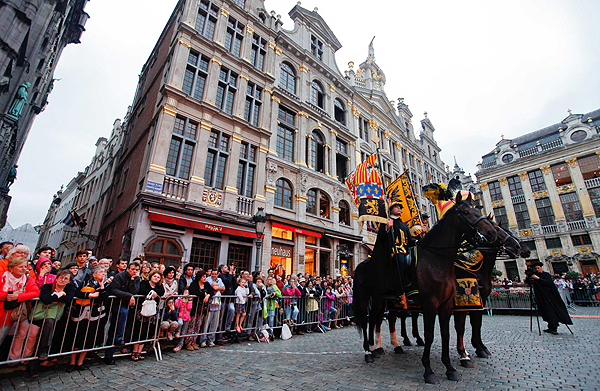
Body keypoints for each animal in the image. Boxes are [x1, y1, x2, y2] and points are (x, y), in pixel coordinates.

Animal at [454, 220, 528, 368]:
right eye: (498, 230)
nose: (521, 248)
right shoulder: (462, 302)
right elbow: (461, 326)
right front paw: (464, 354)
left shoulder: (480, 300)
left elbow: (476, 323)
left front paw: (481, 348)